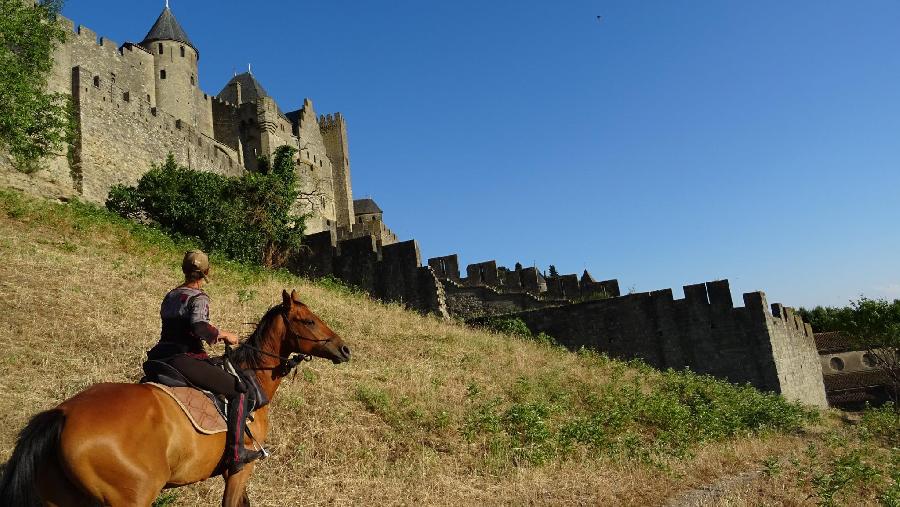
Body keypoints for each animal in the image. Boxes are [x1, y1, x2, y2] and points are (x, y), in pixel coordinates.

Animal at [0, 290, 350, 507]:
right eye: (309, 321)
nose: (344, 349)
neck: (251, 377)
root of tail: (63, 415)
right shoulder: (240, 470)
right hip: (132, 497)